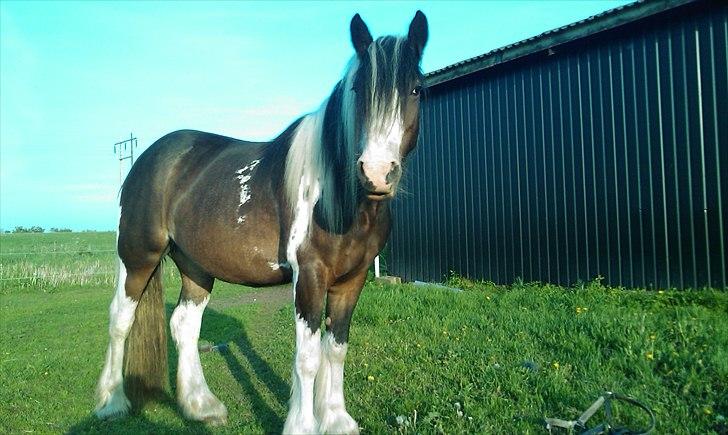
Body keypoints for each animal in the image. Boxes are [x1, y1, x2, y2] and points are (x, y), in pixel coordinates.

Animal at [94, 10, 430, 435]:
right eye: (357, 90)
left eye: (416, 89)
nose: (376, 173)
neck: (339, 197)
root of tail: (150, 157)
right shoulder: (310, 276)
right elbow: (308, 358)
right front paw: (302, 424)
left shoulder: (352, 280)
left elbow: (336, 350)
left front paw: (337, 419)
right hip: (138, 257)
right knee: (120, 320)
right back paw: (111, 401)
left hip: (196, 266)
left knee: (184, 325)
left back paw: (201, 406)